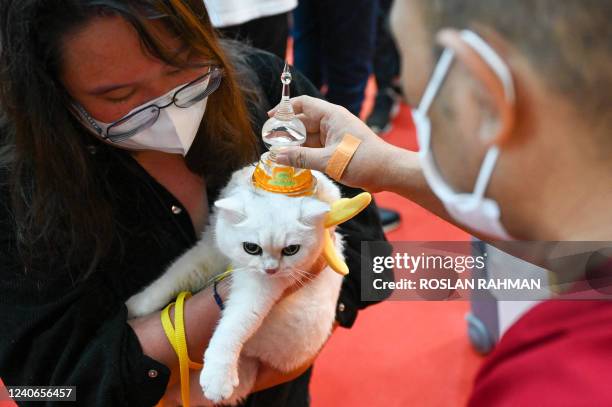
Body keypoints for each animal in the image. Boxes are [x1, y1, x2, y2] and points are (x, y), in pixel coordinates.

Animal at [125, 165, 344, 404]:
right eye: (251, 248)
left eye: (291, 250)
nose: (271, 270)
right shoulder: (210, 249)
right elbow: (174, 275)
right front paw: (136, 306)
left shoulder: (259, 288)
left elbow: (233, 327)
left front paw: (218, 376)